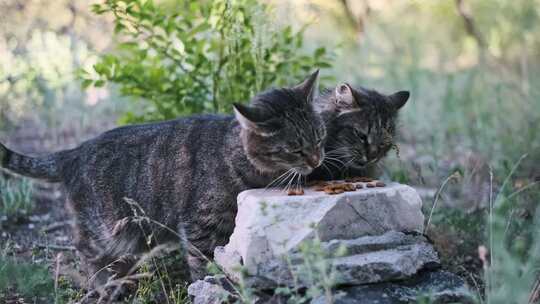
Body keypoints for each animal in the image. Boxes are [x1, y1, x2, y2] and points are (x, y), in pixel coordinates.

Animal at [0, 70, 324, 284]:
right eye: (296, 149)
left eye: (320, 138)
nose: (317, 159)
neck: (237, 158)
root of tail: (75, 151)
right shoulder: (199, 225)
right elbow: (203, 262)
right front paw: (208, 284)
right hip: (104, 228)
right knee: (84, 248)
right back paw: (105, 284)